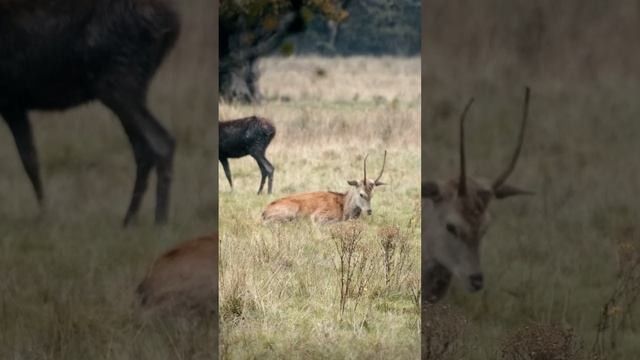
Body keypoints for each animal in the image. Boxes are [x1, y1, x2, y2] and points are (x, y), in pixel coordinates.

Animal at [1, 0, 180, 225]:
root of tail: (173, 23)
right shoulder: (14, 105)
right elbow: (31, 159)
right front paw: (45, 215)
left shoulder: (10, 103)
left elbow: (28, 161)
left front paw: (44, 218)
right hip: (132, 88)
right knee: (143, 149)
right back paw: (128, 220)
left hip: (117, 84)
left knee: (160, 142)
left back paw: (160, 222)